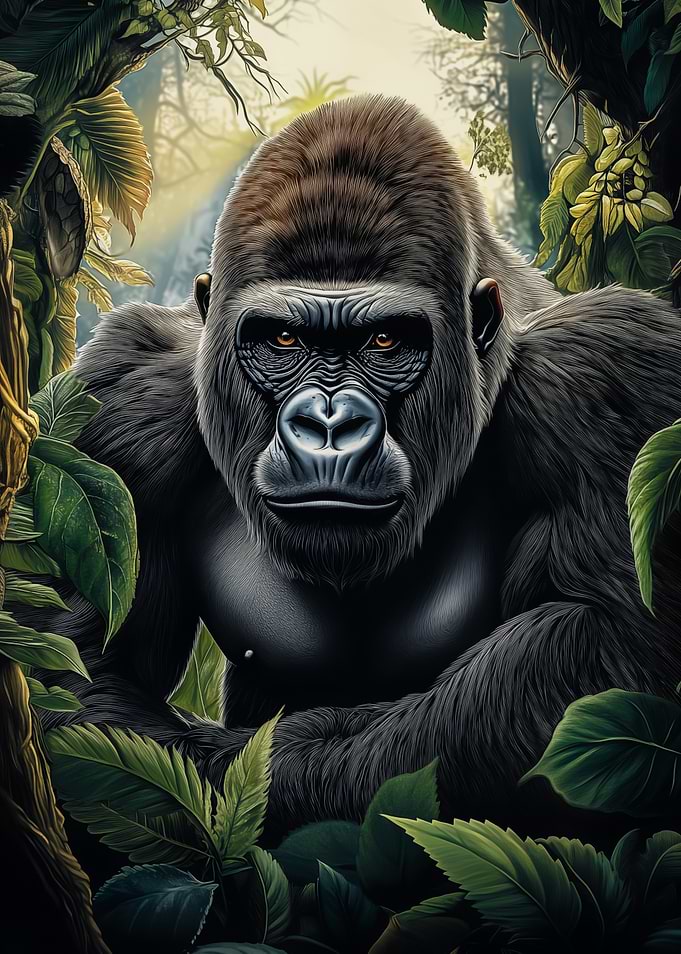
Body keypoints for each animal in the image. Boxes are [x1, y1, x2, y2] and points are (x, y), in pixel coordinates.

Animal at [28, 94, 681, 836]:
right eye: (283, 338)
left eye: (385, 340)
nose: (329, 426)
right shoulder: (122, 406)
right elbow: (76, 667)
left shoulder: (602, 378)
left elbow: (607, 657)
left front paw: (255, 771)